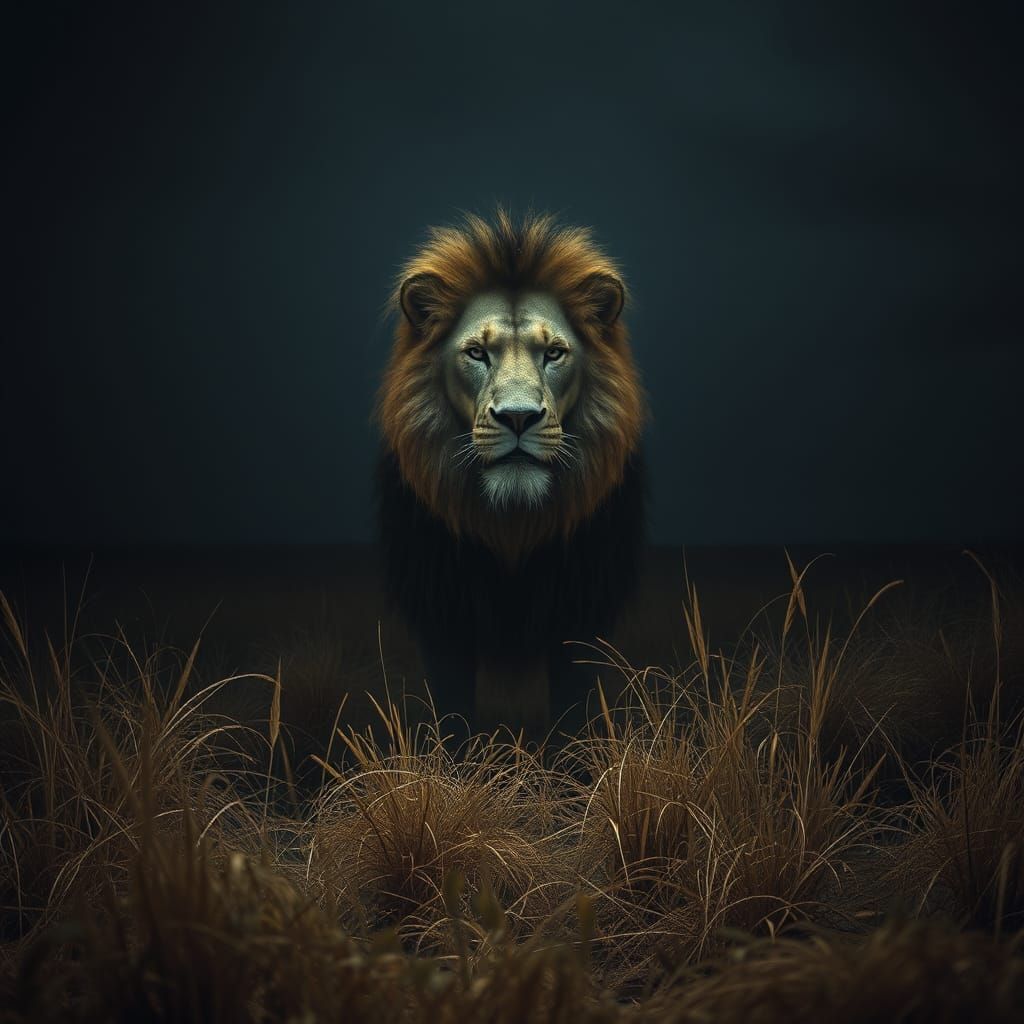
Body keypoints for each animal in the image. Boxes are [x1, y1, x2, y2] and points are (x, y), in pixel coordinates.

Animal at [375, 208, 647, 737]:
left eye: (554, 352)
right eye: (477, 353)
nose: (518, 417)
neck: (512, 526)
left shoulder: (581, 616)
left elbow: (574, 714)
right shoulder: (442, 616)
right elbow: (453, 715)